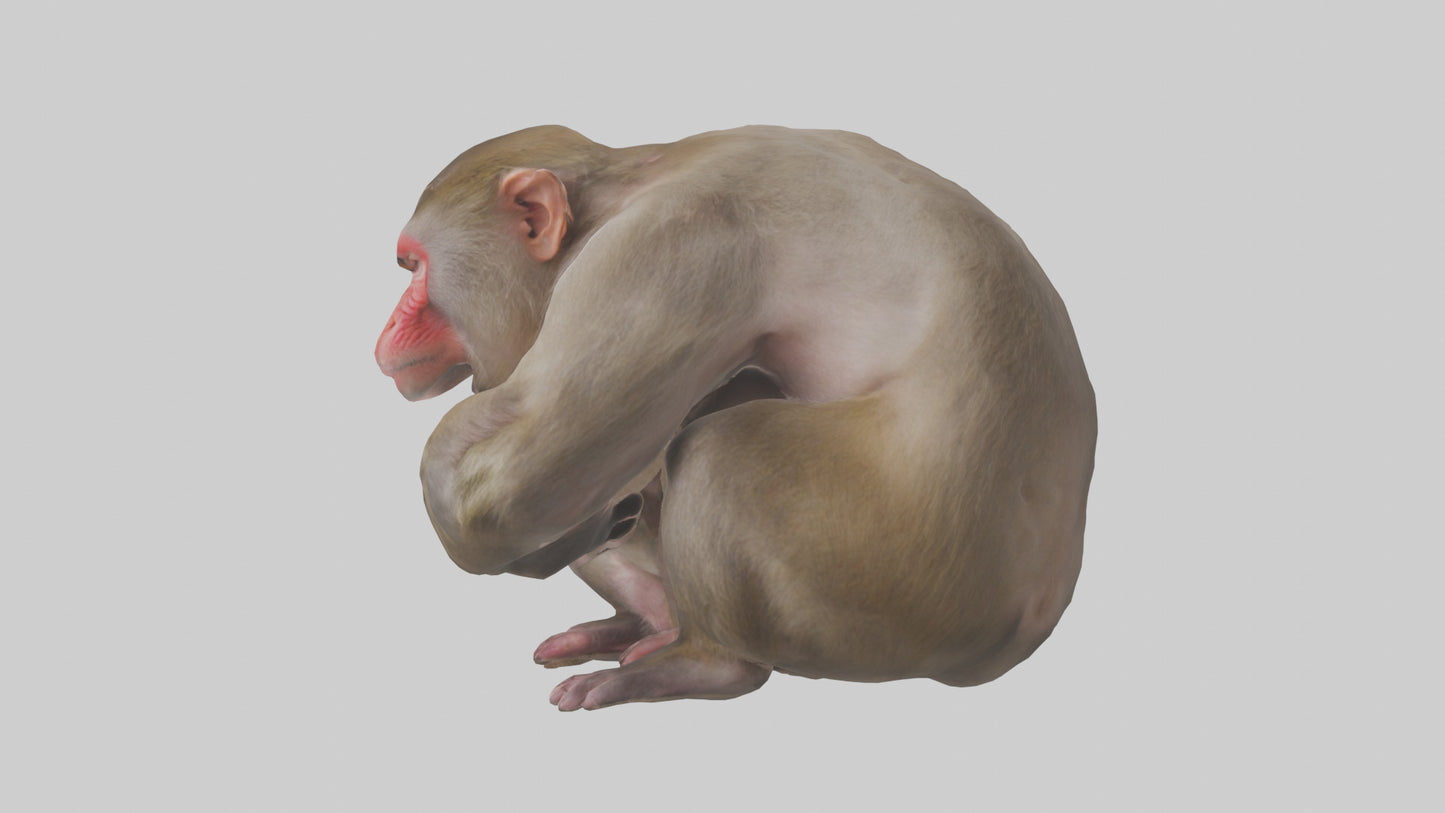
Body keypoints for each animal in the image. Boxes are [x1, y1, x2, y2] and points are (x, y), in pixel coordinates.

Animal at [375, 126, 1096, 710]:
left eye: (414, 267)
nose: (386, 334)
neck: (631, 184)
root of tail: (1032, 620)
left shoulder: (667, 248)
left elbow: (504, 484)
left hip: (905, 585)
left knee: (721, 449)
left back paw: (705, 663)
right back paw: (650, 618)